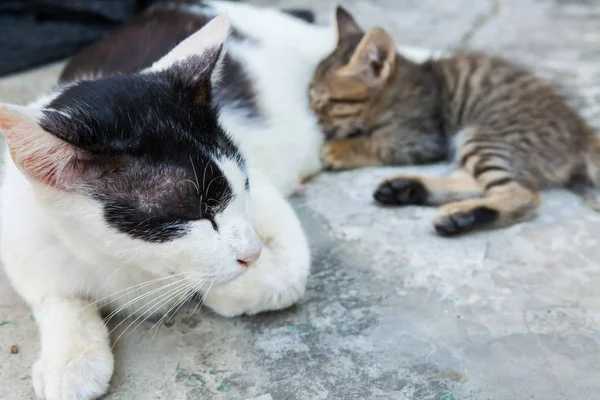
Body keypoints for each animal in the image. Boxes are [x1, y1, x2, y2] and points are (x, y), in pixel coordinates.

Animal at [0, 1, 432, 398]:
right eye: (193, 214)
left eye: (243, 186)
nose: (252, 253)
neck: (122, 262)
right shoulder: (20, 231)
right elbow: (54, 294)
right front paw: (70, 359)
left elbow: (280, 277)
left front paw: (219, 287)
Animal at [310, 8, 600, 234]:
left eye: (325, 103)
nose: (315, 124)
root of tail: (582, 130)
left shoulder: (423, 137)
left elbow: (377, 141)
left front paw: (339, 149)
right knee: (475, 183)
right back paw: (406, 189)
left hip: (484, 136)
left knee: (522, 196)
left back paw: (460, 216)